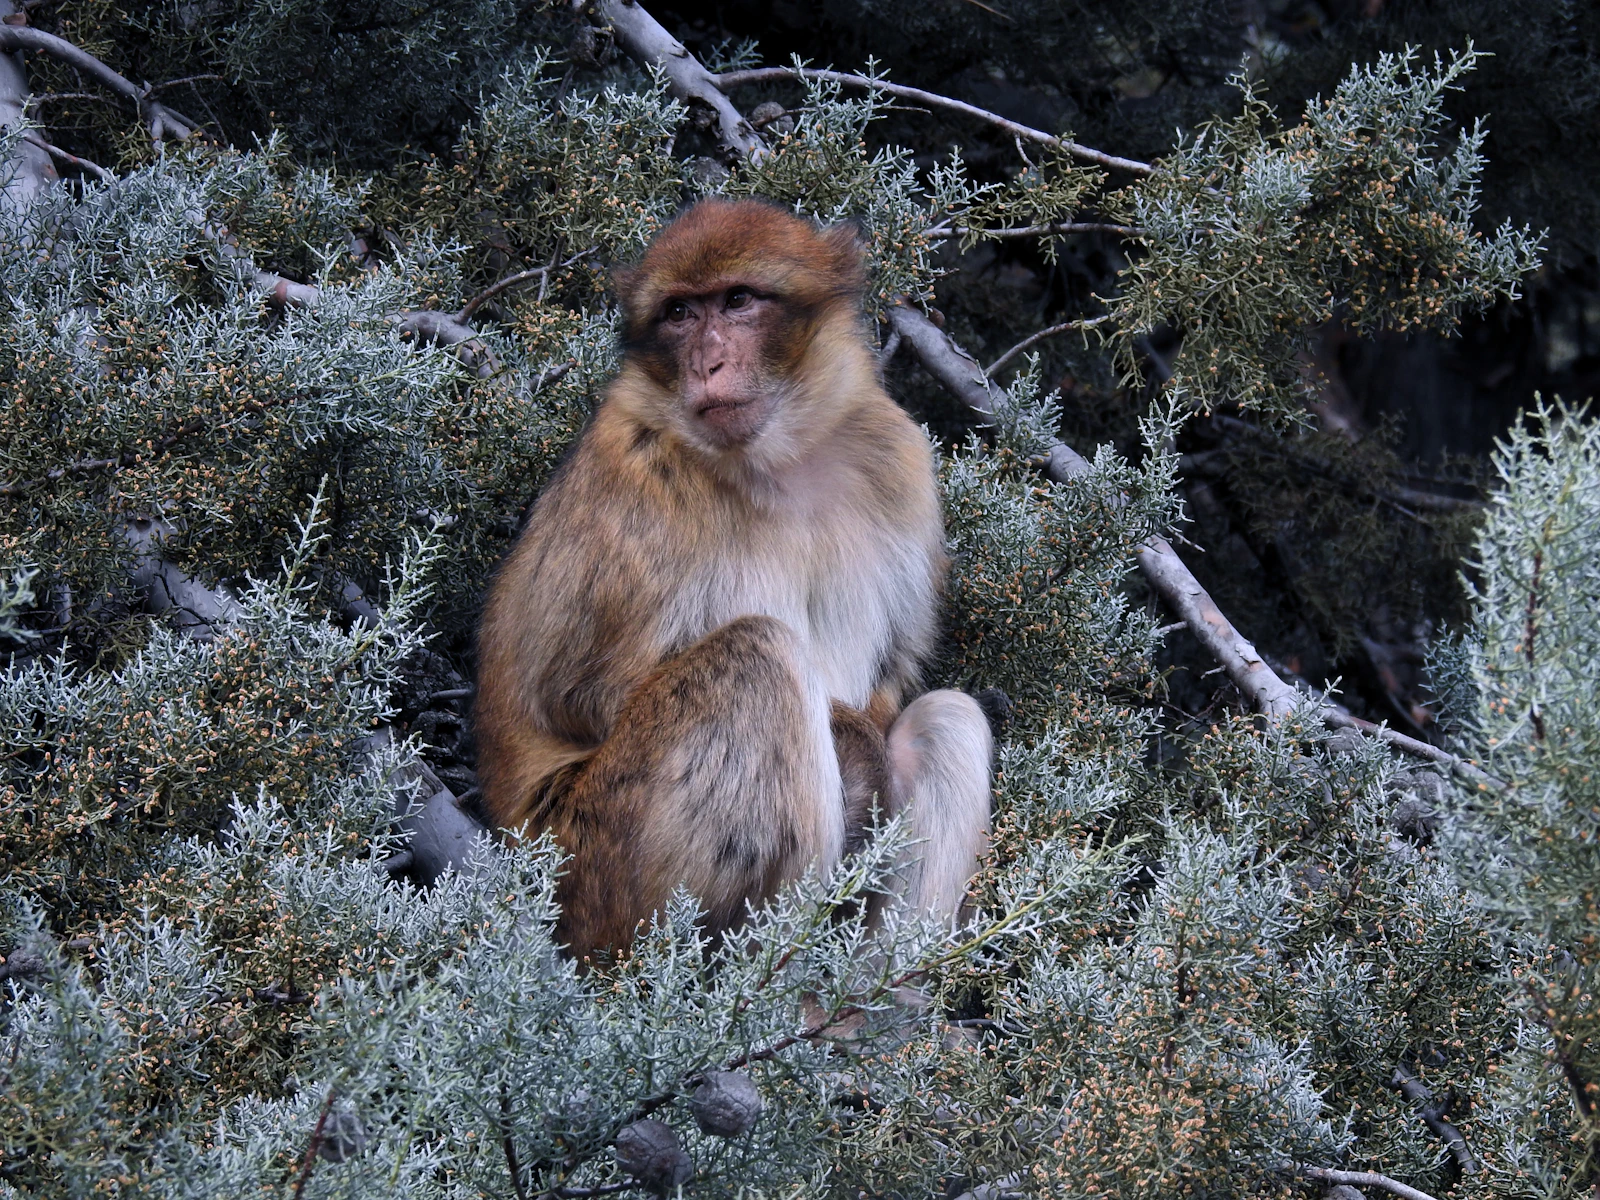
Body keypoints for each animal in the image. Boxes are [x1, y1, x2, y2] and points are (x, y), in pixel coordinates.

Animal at [474, 198, 992, 955]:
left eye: (739, 300)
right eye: (680, 313)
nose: (709, 362)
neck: (779, 462)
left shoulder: (897, 455)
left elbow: (893, 680)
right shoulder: (635, 477)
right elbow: (578, 697)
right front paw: (856, 753)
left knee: (945, 721)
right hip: (594, 868)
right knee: (759, 655)